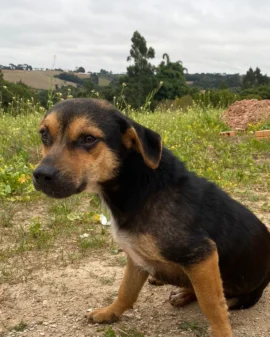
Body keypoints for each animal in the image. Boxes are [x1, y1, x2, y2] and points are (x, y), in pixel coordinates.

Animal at [32, 98, 270, 336]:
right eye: (44, 134)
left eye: (88, 139)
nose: (41, 175)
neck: (136, 187)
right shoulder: (136, 256)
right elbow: (126, 290)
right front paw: (110, 313)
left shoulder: (202, 254)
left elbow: (211, 304)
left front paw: (222, 331)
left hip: (239, 292)